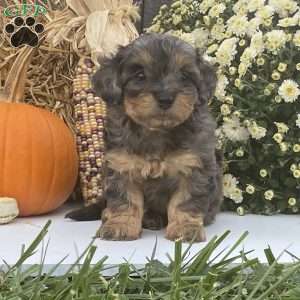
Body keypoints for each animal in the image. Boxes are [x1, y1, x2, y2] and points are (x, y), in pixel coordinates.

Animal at [67, 32, 223, 241]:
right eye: (140, 75)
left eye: (184, 75)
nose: (166, 99)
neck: (156, 131)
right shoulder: (122, 166)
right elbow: (125, 200)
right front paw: (121, 225)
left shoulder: (193, 167)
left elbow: (185, 201)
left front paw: (185, 228)